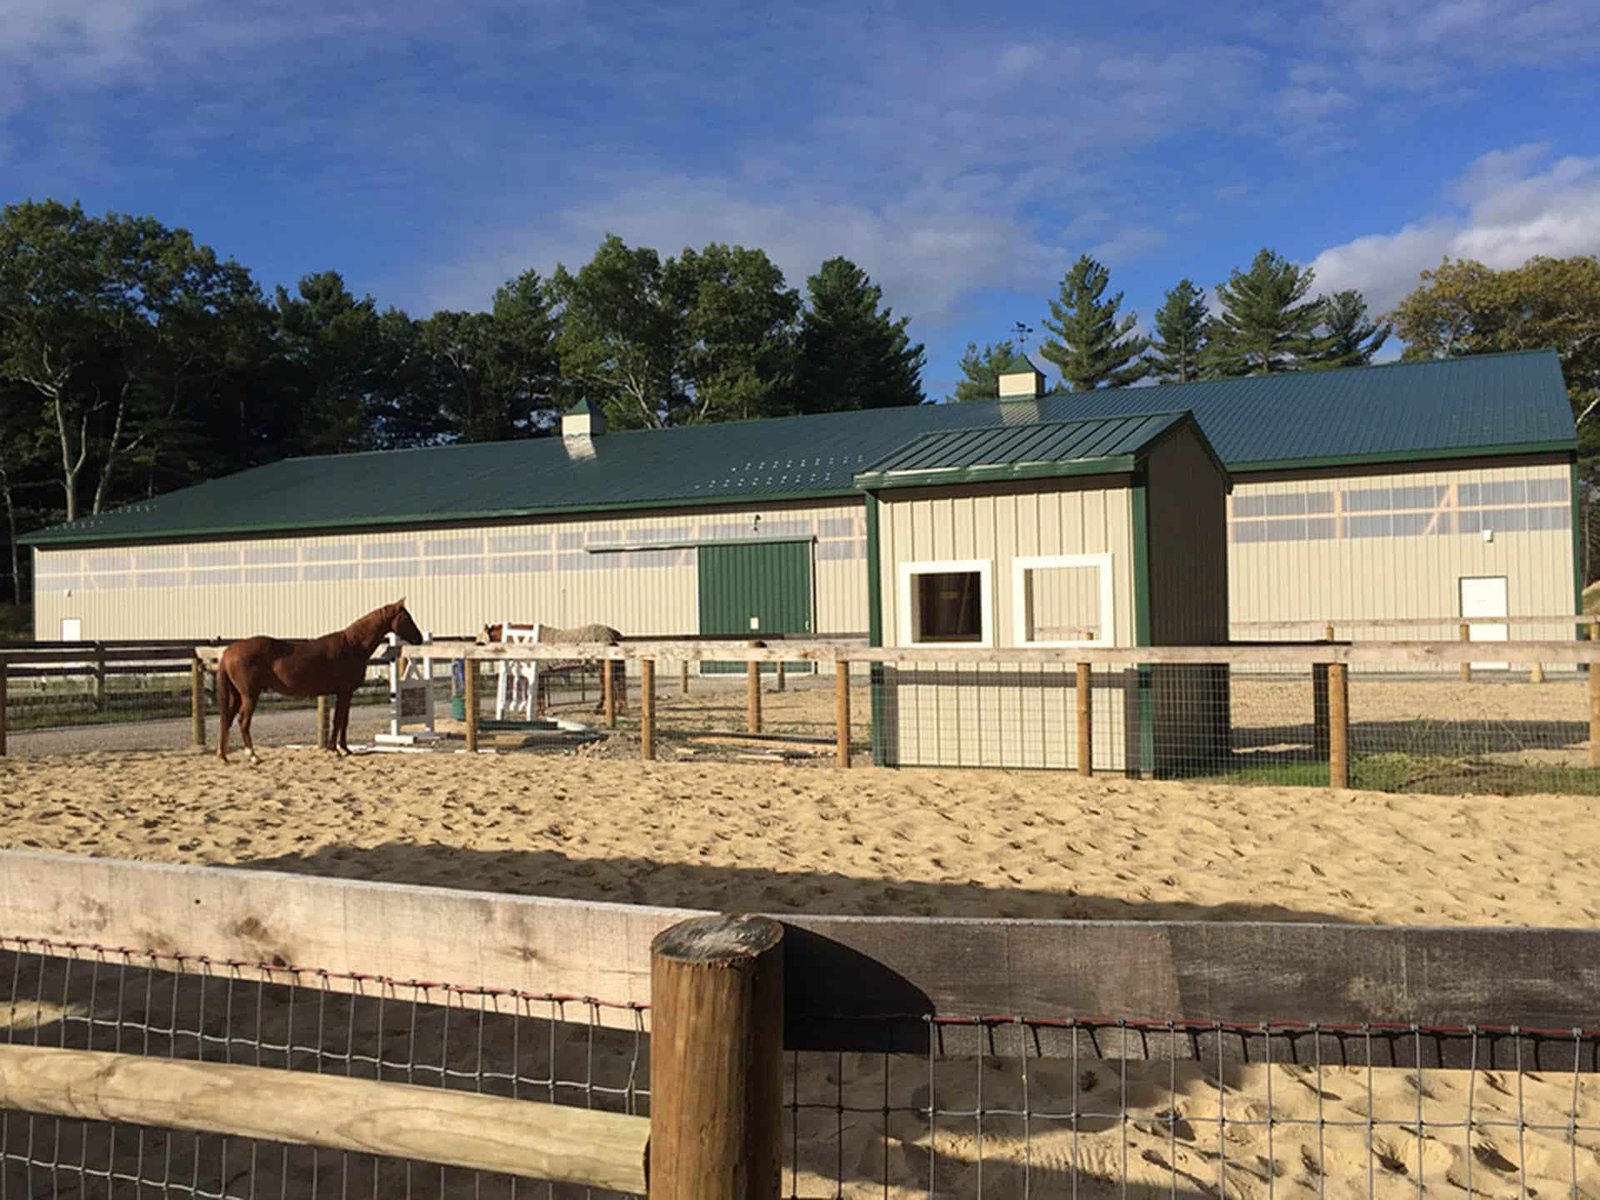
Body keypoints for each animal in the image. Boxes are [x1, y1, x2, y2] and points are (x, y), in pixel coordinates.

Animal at [216, 599, 424, 763]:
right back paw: (253, 755)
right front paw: (335, 750)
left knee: (227, 720)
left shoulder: (347, 693)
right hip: (249, 695)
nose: (420, 638)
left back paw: (223, 755)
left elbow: (344, 720)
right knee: (243, 721)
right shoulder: (344, 692)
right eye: (406, 617)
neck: (352, 645)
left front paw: (345, 749)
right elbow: (338, 720)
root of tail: (228, 652)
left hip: (237, 696)